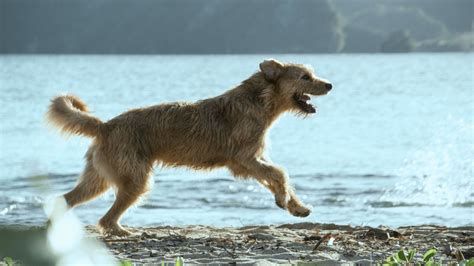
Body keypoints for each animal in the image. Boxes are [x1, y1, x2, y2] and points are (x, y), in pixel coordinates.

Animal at [46, 59, 332, 236]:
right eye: (305, 76)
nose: (329, 84)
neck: (260, 99)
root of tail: (105, 125)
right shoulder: (245, 159)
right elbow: (280, 173)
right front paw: (284, 199)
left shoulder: (252, 162)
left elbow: (277, 177)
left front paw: (295, 206)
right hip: (135, 179)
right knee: (106, 218)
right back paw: (122, 231)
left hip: (98, 179)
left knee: (67, 199)